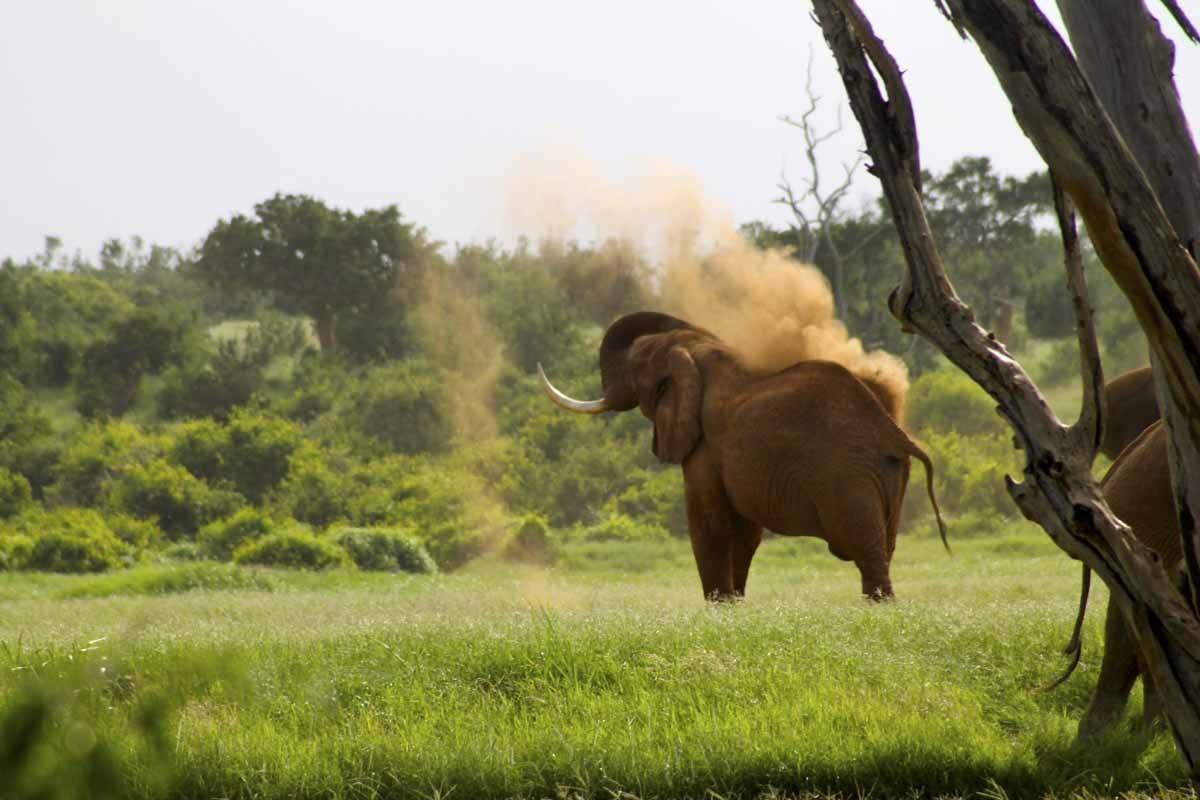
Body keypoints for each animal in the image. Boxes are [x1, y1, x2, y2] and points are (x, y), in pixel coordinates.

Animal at [542, 311, 945, 599]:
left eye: (637, 365)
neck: (698, 353)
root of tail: (894, 434)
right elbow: (745, 531)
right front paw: (735, 605)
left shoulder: (706, 447)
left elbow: (710, 523)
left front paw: (721, 608)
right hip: (890, 474)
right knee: (885, 547)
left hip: (850, 476)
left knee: (866, 549)